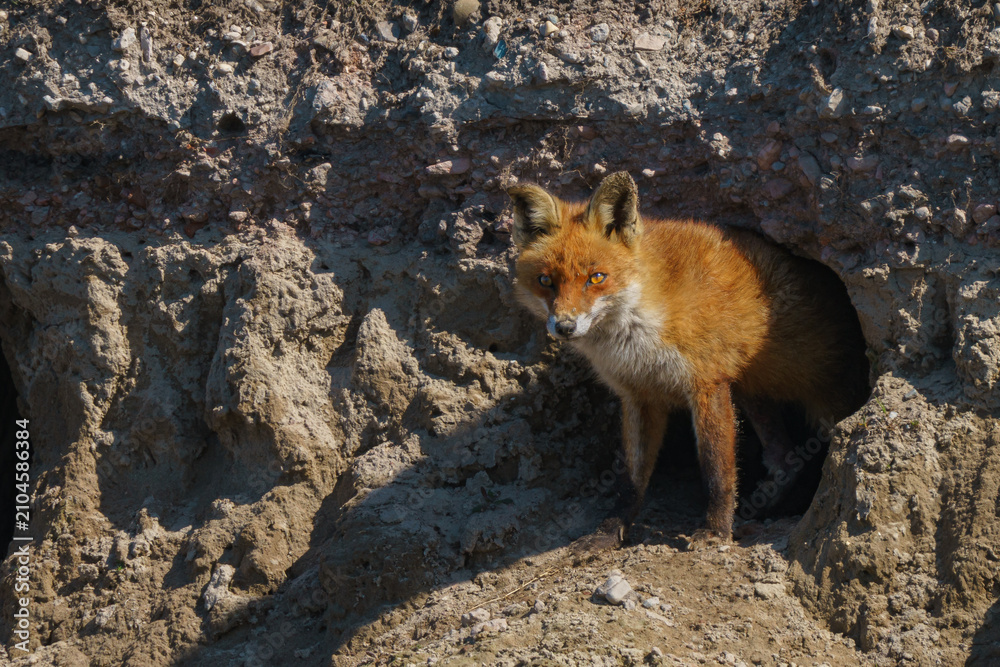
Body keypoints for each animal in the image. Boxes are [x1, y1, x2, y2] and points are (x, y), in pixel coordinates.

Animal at [508, 171, 869, 548]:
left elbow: (717, 470)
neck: (641, 329)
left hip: (825, 407)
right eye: (546, 281)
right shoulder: (638, 396)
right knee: (785, 460)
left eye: (596, 278)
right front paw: (608, 532)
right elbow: (630, 480)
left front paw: (716, 531)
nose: (565, 326)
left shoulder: (707, 384)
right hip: (753, 395)